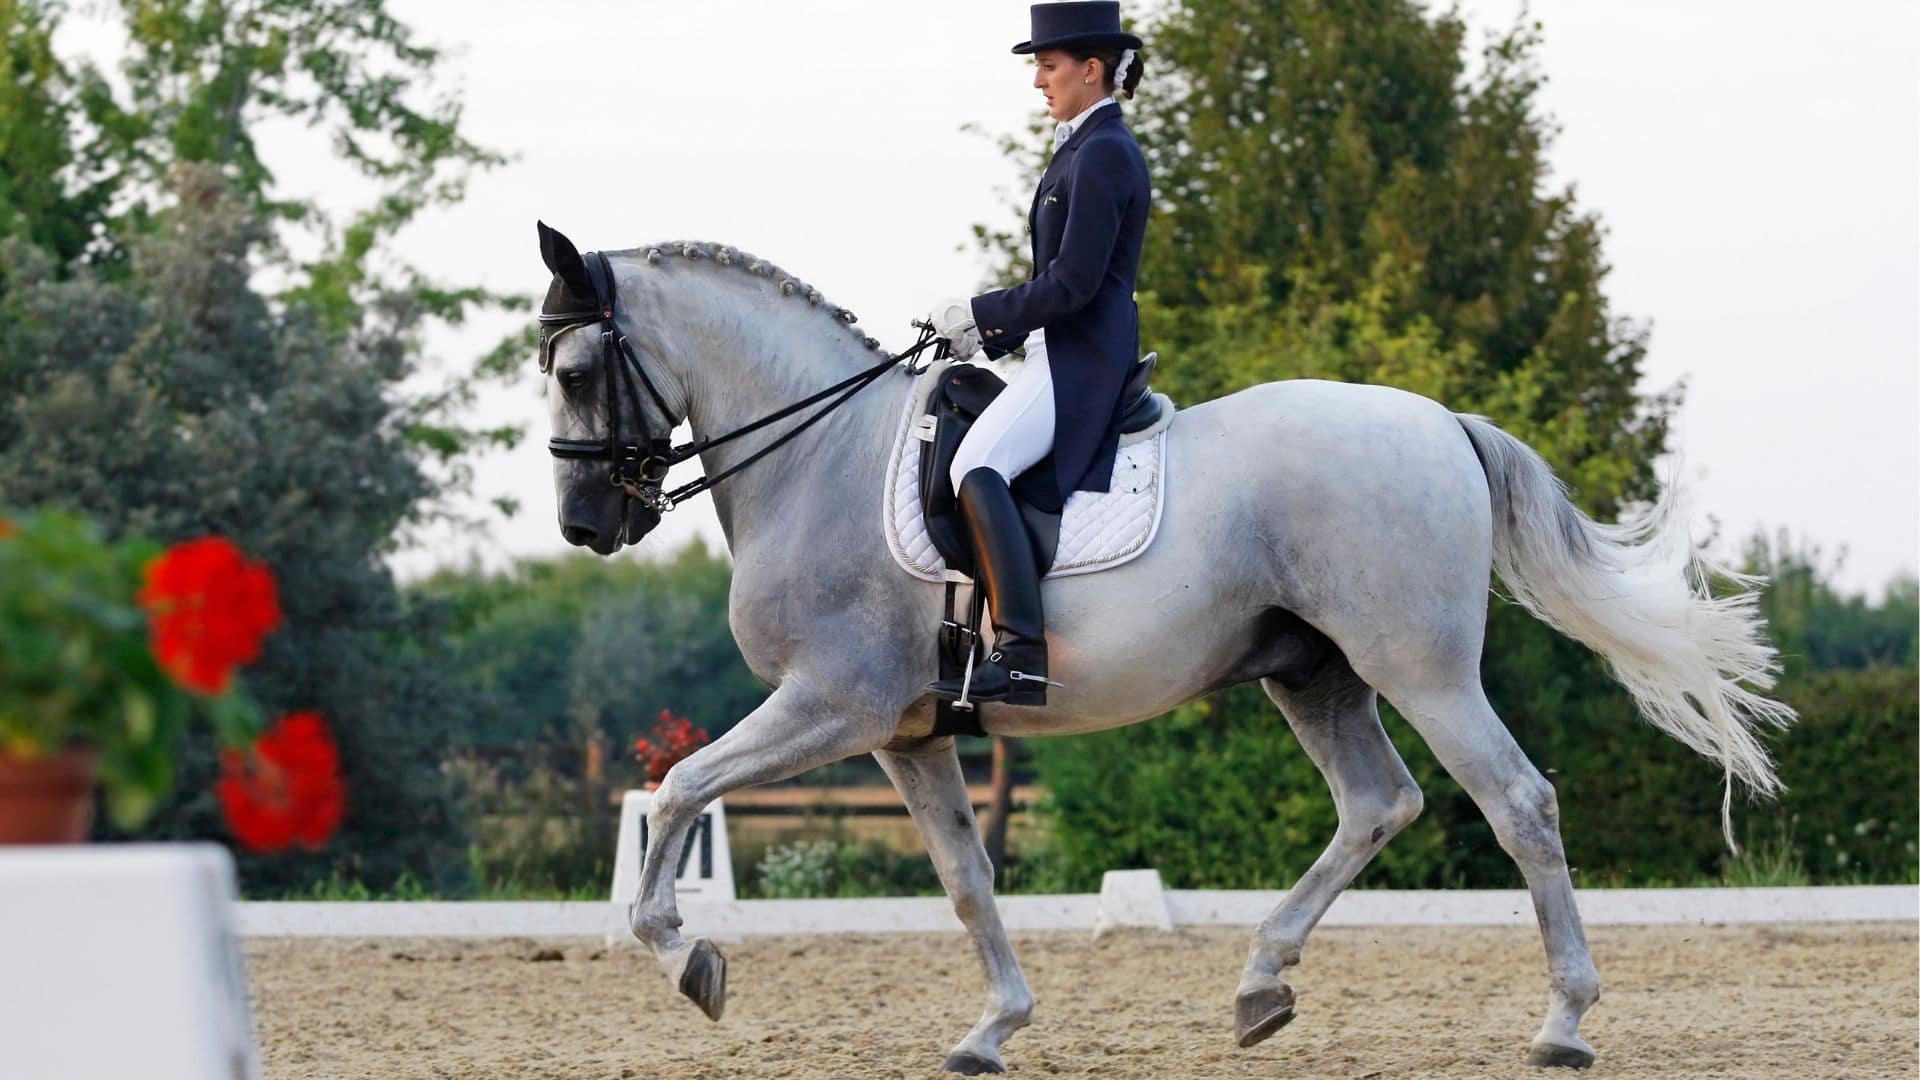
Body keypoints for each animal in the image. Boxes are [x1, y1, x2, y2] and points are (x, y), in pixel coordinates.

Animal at [531, 223, 1794, 1074]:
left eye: (580, 372)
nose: (587, 528)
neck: (818, 456)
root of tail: (1441, 420)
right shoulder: (908, 734)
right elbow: (966, 878)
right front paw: (992, 1029)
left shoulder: (833, 703)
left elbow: (680, 784)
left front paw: (684, 955)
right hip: (1313, 673)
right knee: (1378, 805)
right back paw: (1260, 983)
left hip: (1419, 667)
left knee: (1518, 803)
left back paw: (1563, 1023)